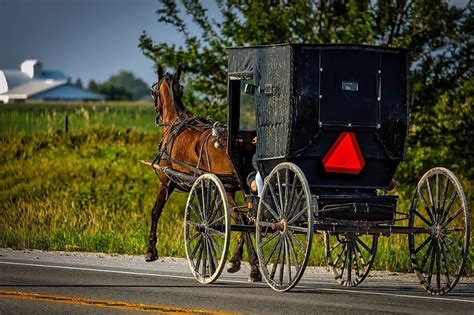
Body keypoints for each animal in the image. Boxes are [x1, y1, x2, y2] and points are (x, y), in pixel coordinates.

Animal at [146, 66, 262, 284]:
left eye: (153, 91)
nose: (155, 112)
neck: (175, 123)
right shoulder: (202, 186)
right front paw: (210, 263)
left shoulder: (166, 182)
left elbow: (155, 211)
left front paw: (150, 250)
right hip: (240, 188)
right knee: (248, 219)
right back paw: (238, 262)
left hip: (228, 188)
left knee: (242, 219)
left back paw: (252, 268)